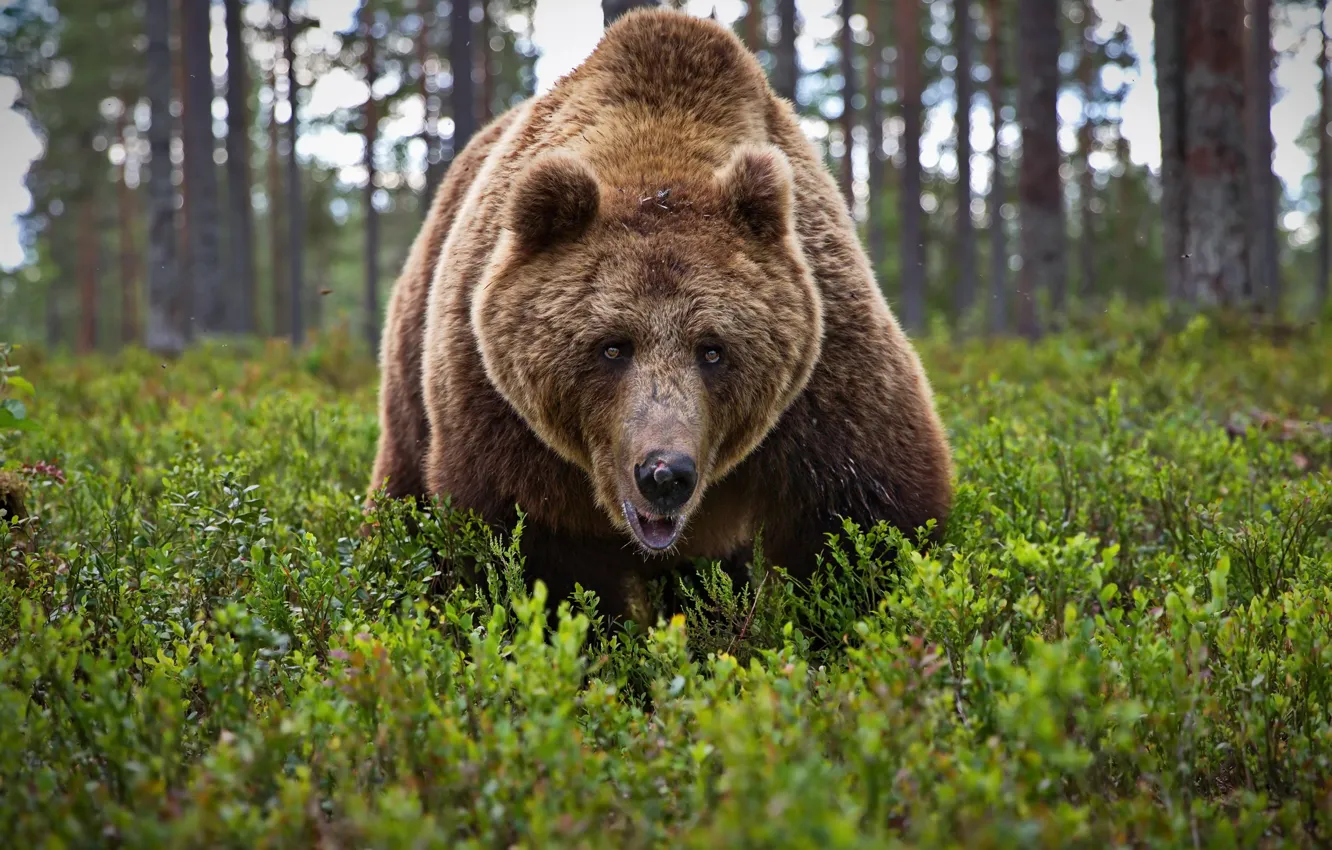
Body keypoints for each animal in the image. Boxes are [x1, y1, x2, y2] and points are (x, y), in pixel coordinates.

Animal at [367, 8, 953, 624]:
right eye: (612, 345)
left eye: (714, 349)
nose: (664, 473)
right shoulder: (496, 410)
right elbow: (532, 556)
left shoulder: (824, 372)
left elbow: (864, 515)